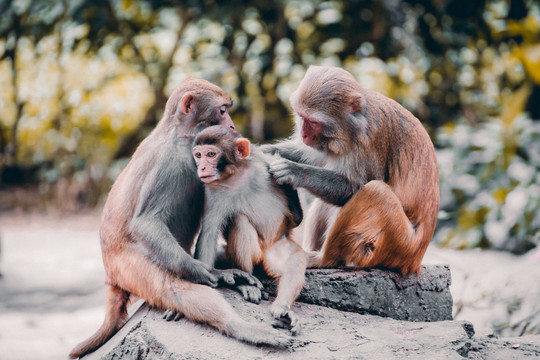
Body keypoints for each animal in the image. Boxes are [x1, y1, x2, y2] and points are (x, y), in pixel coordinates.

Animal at [70, 80, 296, 358]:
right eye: (223, 110)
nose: (232, 125)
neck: (180, 135)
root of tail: (110, 277)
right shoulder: (167, 163)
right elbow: (146, 223)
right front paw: (208, 272)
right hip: (129, 267)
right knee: (174, 288)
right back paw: (243, 327)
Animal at [191, 125, 308, 334]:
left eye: (211, 154)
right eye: (198, 155)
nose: (201, 167)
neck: (238, 174)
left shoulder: (265, 164)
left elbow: (296, 220)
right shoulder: (212, 190)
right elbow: (209, 233)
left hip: (274, 251)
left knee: (295, 257)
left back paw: (282, 307)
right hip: (256, 255)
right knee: (239, 220)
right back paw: (247, 284)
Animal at [264, 66, 438, 276]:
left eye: (313, 122)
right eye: (301, 116)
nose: (303, 135)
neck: (352, 127)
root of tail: (414, 262)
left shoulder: (370, 140)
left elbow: (354, 186)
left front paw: (294, 171)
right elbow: (314, 156)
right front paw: (261, 150)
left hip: (396, 245)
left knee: (376, 192)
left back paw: (323, 259)